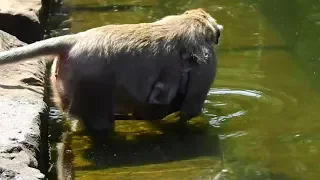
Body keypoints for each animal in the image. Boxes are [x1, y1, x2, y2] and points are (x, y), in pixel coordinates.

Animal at [0, 8, 224, 137]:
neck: (194, 21)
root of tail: (73, 41)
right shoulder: (206, 64)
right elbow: (190, 110)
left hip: (66, 82)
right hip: (92, 85)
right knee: (100, 120)